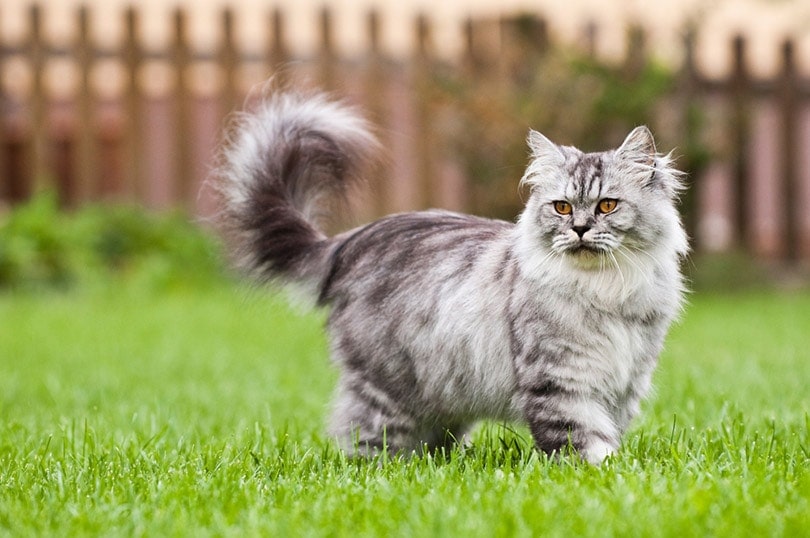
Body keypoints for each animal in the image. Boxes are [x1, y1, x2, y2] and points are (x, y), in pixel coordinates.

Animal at [211, 89, 684, 464]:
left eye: (607, 205)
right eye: (562, 207)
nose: (581, 229)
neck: (605, 288)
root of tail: (350, 242)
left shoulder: (625, 382)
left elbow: (609, 433)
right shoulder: (560, 380)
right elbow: (585, 442)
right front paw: (607, 473)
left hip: (443, 392)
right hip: (387, 389)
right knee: (364, 441)